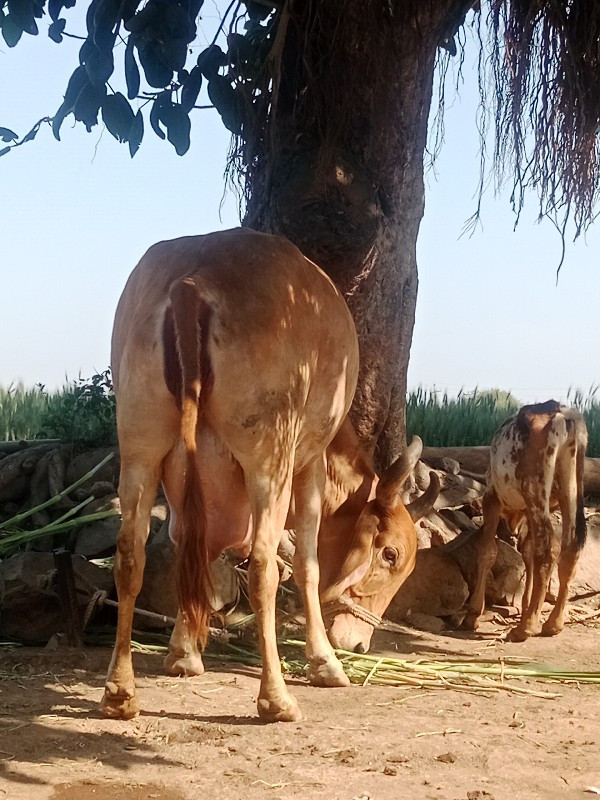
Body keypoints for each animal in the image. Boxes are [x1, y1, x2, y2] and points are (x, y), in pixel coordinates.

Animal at [102, 230, 436, 724]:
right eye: (391, 555)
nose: (358, 642)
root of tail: (192, 280)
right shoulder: (310, 465)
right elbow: (308, 566)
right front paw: (326, 662)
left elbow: (189, 548)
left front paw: (183, 653)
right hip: (269, 453)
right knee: (263, 566)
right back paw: (275, 697)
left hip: (141, 442)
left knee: (130, 554)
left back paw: (119, 692)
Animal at [464, 404, 584, 640]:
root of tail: (563, 415)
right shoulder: (527, 512)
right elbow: (528, 553)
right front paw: (526, 605)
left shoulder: (492, 498)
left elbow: (487, 551)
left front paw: (472, 614)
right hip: (570, 491)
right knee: (569, 549)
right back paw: (553, 623)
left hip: (534, 489)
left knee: (549, 549)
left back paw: (526, 627)